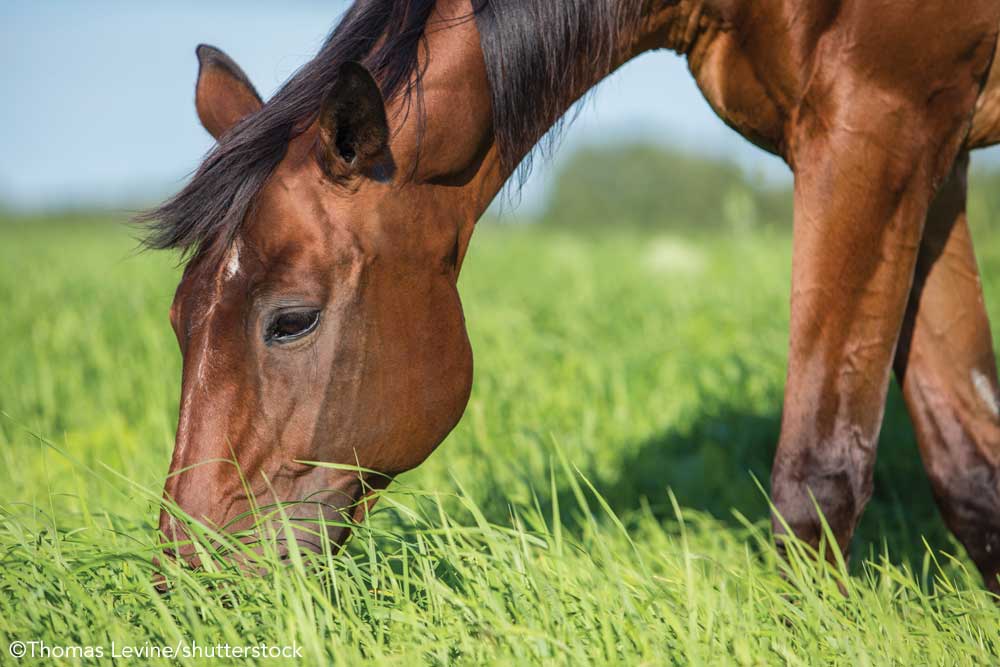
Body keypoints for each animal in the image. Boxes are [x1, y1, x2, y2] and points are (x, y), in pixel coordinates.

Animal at [143, 0, 1000, 592]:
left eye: (291, 320)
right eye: (179, 320)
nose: (185, 578)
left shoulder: (876, 123)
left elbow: (817, 477)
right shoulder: (929, 152)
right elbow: (971, 470)